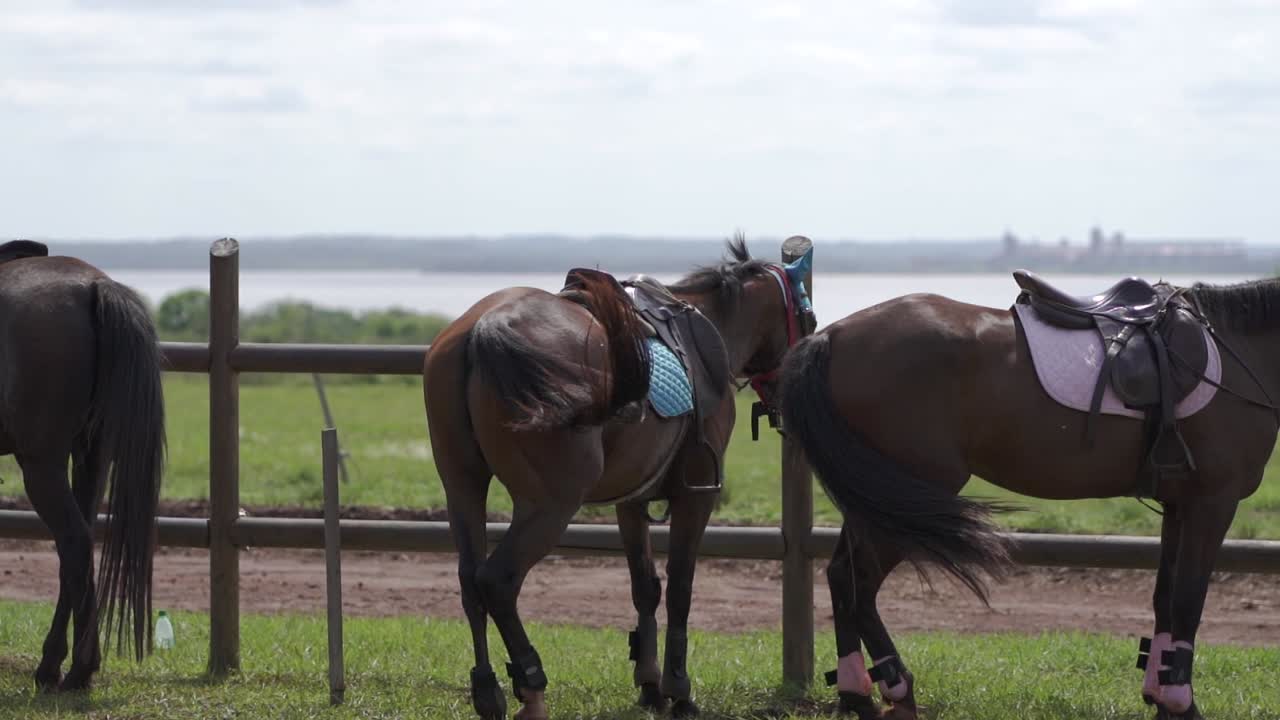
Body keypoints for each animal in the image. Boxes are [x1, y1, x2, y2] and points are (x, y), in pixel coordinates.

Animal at [0, 242, 165, 691]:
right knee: (78, 549)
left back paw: (76, 669)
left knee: (73, 543)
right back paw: (59, 664)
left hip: (43, 466)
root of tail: (93, 286)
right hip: (92, 457)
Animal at [424, 236, 815, 720]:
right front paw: (678, 689)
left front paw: (649, 684)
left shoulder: (632, 501)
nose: (790, 392)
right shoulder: (695, 495)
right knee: (498, 581)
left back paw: (488, 691)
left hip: (462, 485)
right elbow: (681, 586)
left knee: (469, 581)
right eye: (809, 319)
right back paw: (531, 686)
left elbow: (644, 587)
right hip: (549, 505)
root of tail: (484, 329)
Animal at [777, 277, 1280, 720]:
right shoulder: (1212, 503)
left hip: (874, 500)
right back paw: (897, 688)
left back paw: (856, 693)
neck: (1239, 352)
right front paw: (1180, 702)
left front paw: (1159, 695)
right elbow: (1188, 601)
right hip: (905, 499)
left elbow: (1165, 599)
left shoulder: (1179, 506)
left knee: (841, 576)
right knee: (857, 583)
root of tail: (831, 336)